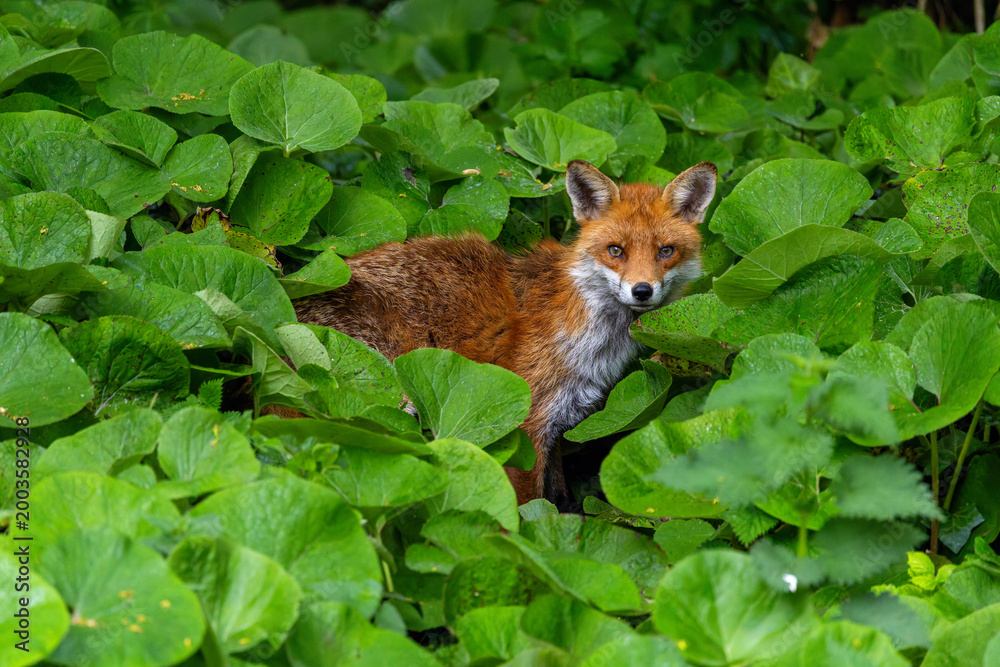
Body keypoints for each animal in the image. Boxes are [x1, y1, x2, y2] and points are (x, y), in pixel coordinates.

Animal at [293, 159, 717, 506]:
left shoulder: (558, 423)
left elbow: (558, 497)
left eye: (665, 251)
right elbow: (529, 508)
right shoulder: (524, 425)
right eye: (616, 250)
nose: (641, 290)